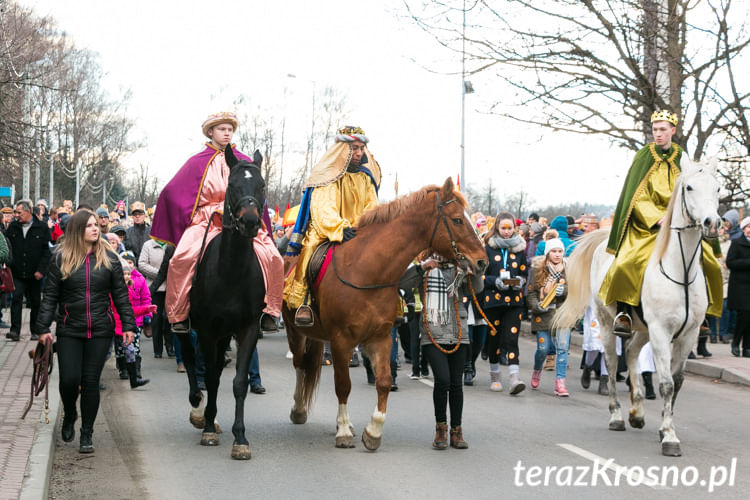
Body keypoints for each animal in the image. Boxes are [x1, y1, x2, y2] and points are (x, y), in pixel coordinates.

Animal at [176, 146, 268, 460]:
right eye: (232, 185)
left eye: (262, 185)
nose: (250, 221)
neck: (231, 271)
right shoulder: (206, 328)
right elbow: (211, 376)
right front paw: (207, 428)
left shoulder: (247, 328)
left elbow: (239, 382)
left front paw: (240, 437)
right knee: (191, 359)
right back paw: (199, 408)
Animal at [282, 178, 488, 452]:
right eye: (457, 220)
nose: (482, 262)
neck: (367, 270)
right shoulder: (340, 340)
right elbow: (342, 384)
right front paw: (344, 432)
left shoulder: (381, 337)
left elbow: (383, 380)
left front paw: (373, 432)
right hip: (296, 331)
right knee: (300, 365)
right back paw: (298, 410)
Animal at [560, 155, 724, 458]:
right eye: (689, 187)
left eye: (718, 188)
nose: (712, 222)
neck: (681, 270)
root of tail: (603, 243)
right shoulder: (661, 331)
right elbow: (666, 384)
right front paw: (670, 437)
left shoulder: (688, 334)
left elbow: (677, 382)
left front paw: (664, 427)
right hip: (607, 324)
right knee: (612, 363)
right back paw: (617, 415)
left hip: (644, 330)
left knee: (633, 352)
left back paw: (637, 410)